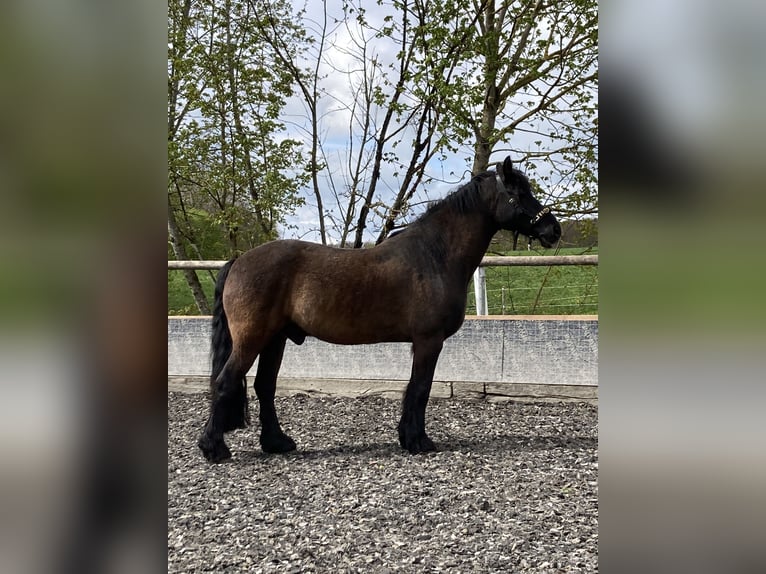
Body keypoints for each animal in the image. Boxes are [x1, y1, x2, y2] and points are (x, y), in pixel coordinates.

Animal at [198, 156, 560, 464]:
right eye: (518, 192)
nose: (552, 230)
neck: (435, 255)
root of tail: (239, 260)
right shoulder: (429, 341)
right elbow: (420, 389)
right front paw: (418, 441)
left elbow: (415, 388)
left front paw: (408, 438)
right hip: (253, 339)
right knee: (226, 381)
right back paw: (214, 449)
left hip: (275, 339)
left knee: (265, 387)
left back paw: (277, 443)